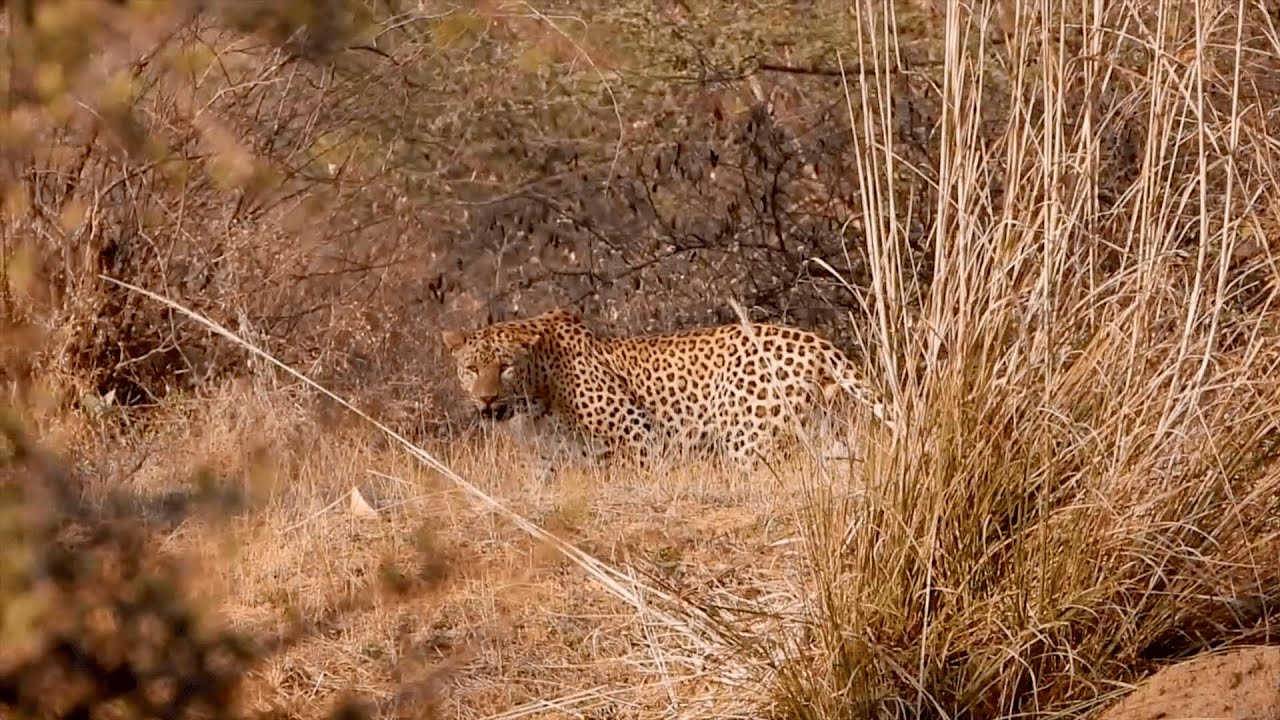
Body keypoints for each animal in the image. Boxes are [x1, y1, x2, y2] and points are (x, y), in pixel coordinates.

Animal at [441, 308, 892, 468]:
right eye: (470, 369)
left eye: (505, 368)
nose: (486, 399)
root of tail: (816, 341)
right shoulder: (552, 459)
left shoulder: (638, 437)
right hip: (820, 428)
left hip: (748, 438)